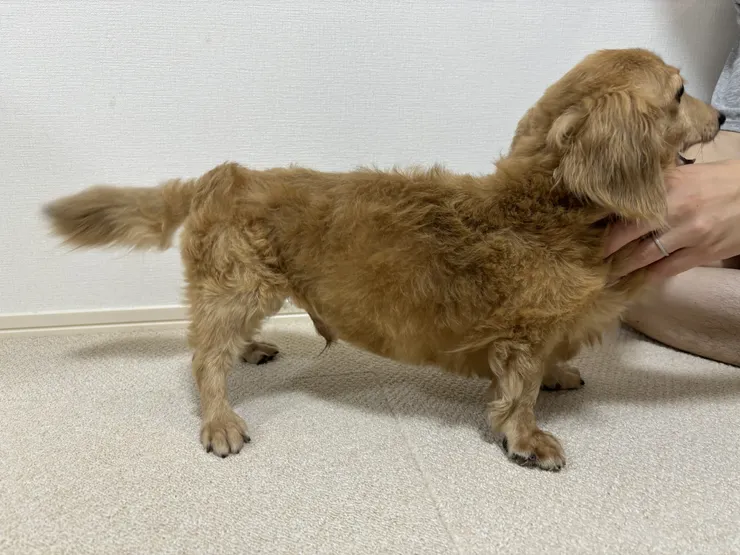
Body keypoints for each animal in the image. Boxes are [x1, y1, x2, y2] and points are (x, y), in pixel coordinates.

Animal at [44, 48, 723, 470]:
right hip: (240, 287)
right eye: (680, 92)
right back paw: (220, 419)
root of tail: (222, 176)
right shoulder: (522, 337)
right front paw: (528, 438)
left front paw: (559, 376)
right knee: (204, 359)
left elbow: (545, 371)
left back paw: (251, 349)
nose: (721, 115)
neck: (545, 205)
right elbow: (519, 394)